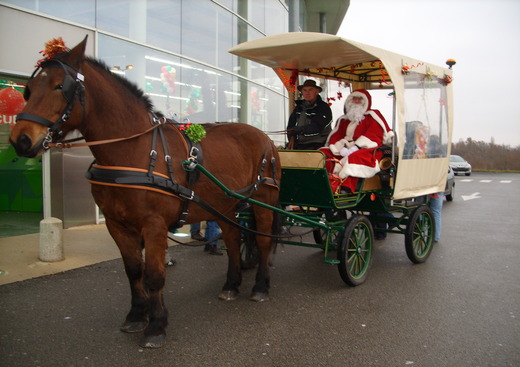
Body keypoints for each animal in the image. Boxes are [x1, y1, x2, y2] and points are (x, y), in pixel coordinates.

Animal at [10, 36, 280, 348]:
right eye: (30, 89)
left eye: (59, 86)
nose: (20, 140)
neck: (132, 152)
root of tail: (265, 138)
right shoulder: (116, 224)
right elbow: (133, 271)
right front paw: (137, 315)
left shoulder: (153, 225)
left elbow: (153, 275)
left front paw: (156, 325)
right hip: (224, 205)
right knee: (234, 241)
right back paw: (231, 285)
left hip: (263, 201)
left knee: (262, 242)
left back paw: (261, 286)